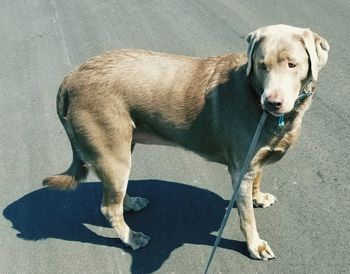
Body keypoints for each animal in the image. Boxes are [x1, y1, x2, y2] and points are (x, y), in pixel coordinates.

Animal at [43, 24, 328, 262]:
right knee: (108, 207)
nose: (272, 103)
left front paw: (258, 197)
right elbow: (247, 216)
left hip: (121, 146)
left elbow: (258, 178)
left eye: (292, 64)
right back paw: (132, 238)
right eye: (262, 66)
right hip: (113, 153)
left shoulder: (253, 161)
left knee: (114, 194)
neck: (254, 94)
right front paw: (254, 245)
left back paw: (130, 202)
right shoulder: (241, 170)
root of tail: (69, 79)